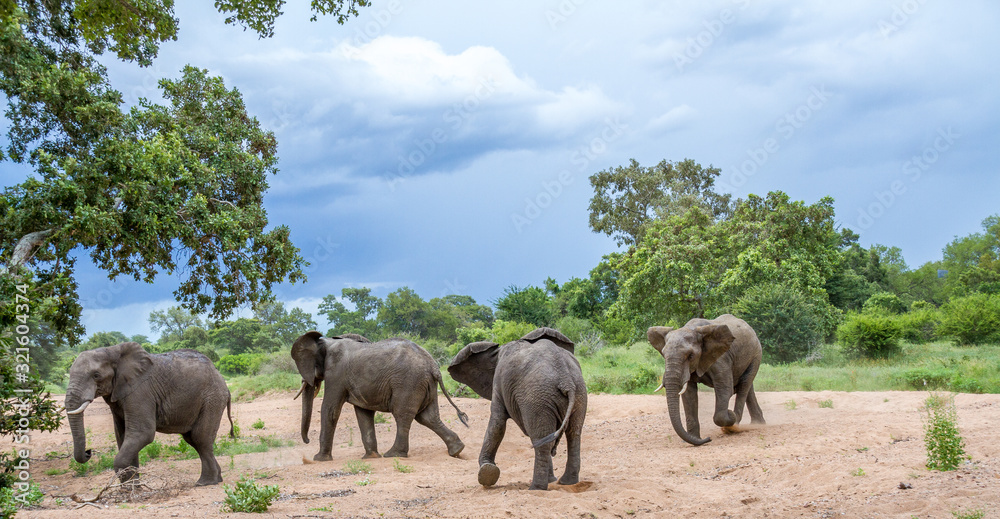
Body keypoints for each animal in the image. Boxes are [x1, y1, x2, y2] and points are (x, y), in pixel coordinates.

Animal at [64, 342, 233, 485]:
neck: (112, 351)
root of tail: (222, 379)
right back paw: (217, 479)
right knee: (193, 439)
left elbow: (141, 433)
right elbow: (123, 436)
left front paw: (128, 488)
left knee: (200, 439)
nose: (88, 452)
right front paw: (132, 487)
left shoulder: (140, 391)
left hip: (212, 399)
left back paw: (205, 482)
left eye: (96, 375)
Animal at [291, 331, 468, 461]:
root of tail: (434, 367)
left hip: (408, 383)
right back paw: (457, 450)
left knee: (403, 415)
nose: (307, 441)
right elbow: (363, 413)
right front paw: (371, 457)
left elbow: (330, 409)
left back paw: (394, 454)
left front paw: (319, 459)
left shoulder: (336, 373)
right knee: (428, 417)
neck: (326, 341)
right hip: (424, 383)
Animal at [448, 327, 587, 490]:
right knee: (573, 434)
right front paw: (552, 479)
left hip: (537, 398)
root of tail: (565, 380)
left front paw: (487, 472)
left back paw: (536, 488)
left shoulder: (499, 383)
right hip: (577, 393)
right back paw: (567, 482)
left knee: (542, 440)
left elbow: (497, 424)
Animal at [647, 314, 766, 446]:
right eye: (664, 354)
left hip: (756, 354)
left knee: (744, 385)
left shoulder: (721, 359)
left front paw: (730, 415)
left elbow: (725, 389)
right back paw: (757, 424)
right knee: (747, 387)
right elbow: (689, 395)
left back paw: (734, 426)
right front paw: (695, 439)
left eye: (690, 356)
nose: (708, 439)